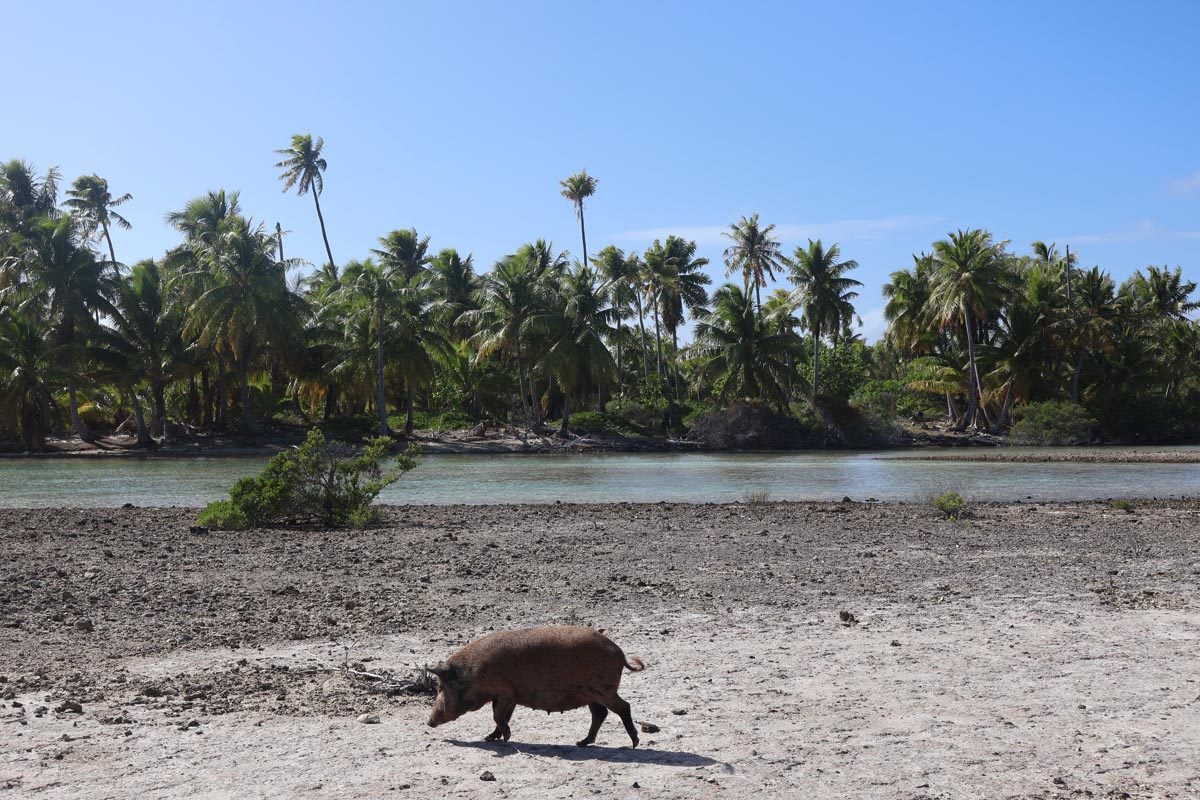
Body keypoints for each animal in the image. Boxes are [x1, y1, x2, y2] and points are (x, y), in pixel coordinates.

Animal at [424, 623, 643, 753]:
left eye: (441, 687)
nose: (428, 722)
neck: (472, 673)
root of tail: (620, 653)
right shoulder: (510, 696)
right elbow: (503, 717)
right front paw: (489, 738)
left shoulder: (504, 692)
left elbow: (497, 716)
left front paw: (504, 738)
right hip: (591, 694)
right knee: (600, 713)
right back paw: (580, 743)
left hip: (603, 689)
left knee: (623, 707)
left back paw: (633, 744)